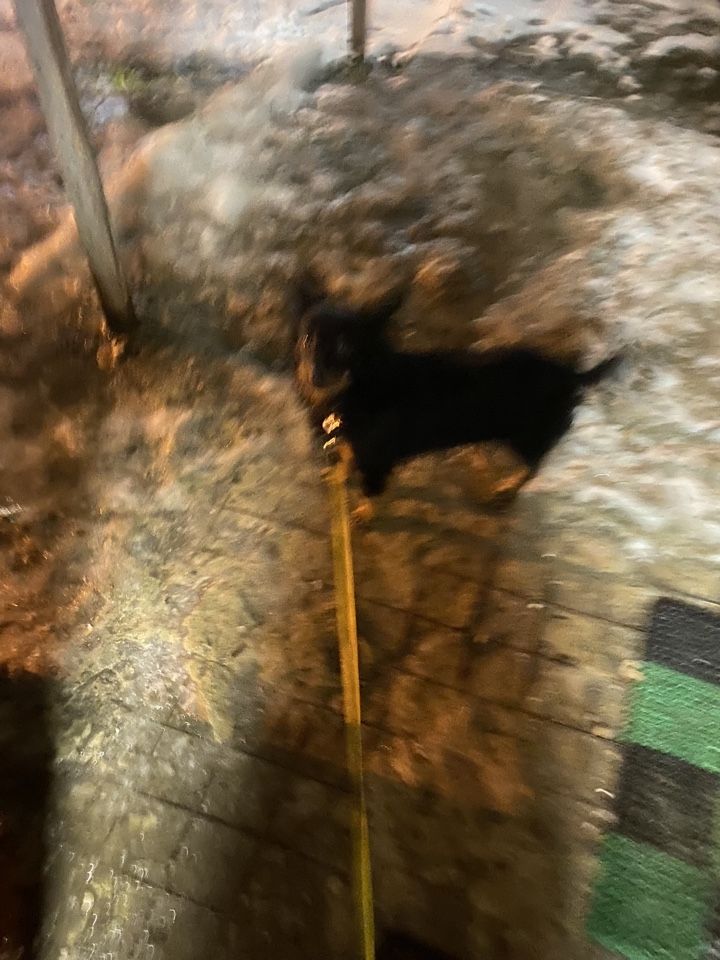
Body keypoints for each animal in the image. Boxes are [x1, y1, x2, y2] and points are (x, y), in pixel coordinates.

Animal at [294, 280, 619, 518]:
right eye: (308, 338)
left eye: (345, 346)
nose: (314, 375)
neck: (362, 384)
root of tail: (571, 374)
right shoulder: (353, 444)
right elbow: (346, 461)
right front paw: (338, 474)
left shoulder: (378, 461)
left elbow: (368, 492)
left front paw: (362, 513)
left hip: (528, 437)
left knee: (532, 467)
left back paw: (504, 489)